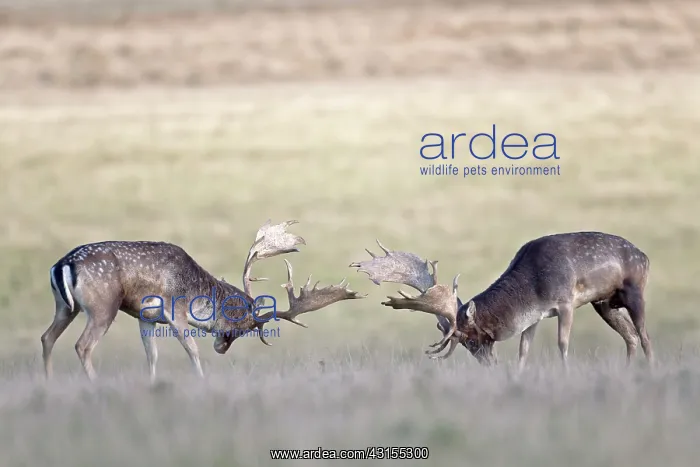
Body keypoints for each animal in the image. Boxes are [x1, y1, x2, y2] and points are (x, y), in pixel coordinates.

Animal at [42, 219, 364, 381]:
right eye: (244, 326)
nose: (221, 348)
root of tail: (62, 264)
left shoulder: (145, 317)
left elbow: (152, 354)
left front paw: (152, 383)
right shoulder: (174, 311)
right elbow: (192, 349)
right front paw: (201, 379)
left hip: (64, 307)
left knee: (47, 337)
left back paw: (47, 382)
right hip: (102, 306)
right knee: (82, 345)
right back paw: (93, 385)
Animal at [350, 232, 654, 371]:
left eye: (471, 339)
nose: (489, 365)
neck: (533, 288)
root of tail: (645, 256)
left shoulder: (566, 301)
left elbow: (562, 343)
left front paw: (565, 372)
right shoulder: (536, 316)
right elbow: (523, 349)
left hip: (635, 290)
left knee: (644, 335)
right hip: (604, 303)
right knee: (630, 336)